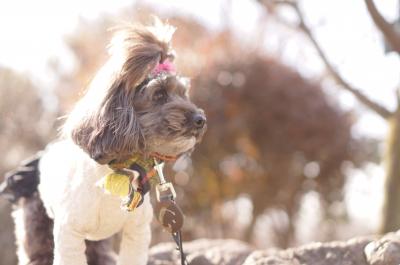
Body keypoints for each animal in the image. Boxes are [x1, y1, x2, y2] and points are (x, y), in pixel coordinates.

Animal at [4, 20, 206, 264]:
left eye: (183, 93)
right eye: (158, 94)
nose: (200, 120)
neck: (121, 170)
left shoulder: (137, 231)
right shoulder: (69, 232)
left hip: (95, 241)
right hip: (37, 221)